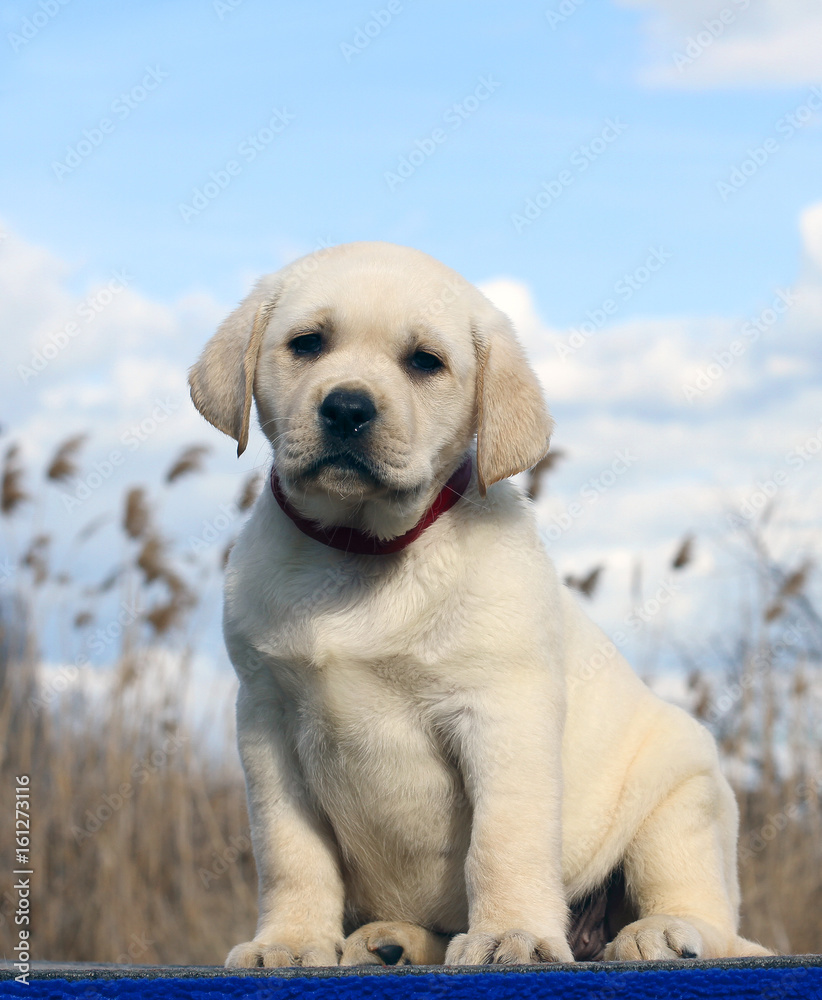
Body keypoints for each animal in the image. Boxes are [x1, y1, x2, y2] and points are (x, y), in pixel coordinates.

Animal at [188, 242, 772, 968]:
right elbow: (290, 852)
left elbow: (502, 841)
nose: (347, 408)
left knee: (707, 913)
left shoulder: (502, 713)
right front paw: (291, 941)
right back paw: (394, 942)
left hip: (681, 796)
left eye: (424, 362)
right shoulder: (268, 724)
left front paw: (511, 934)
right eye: (307, 344)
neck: (361, 551)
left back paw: (658, 932)